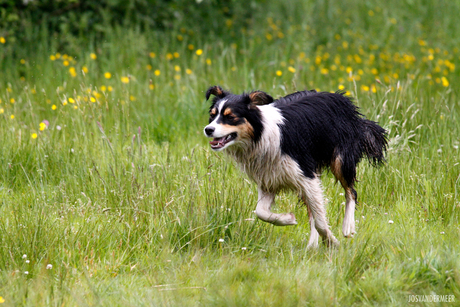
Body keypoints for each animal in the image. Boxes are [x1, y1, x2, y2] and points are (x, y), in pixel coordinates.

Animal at [203, 85, 386, 249]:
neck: (260, 135)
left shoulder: (306, 174)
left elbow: (320, 220)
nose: (208, 129)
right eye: (212, 116)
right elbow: (261, 212)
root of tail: (343, 98)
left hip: (340, 160)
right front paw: (288, 219)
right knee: (313, 210)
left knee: (351, 192)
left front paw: (332, 242)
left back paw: (348, 226)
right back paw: (312, 245)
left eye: (230, 117)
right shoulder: (268, 179)